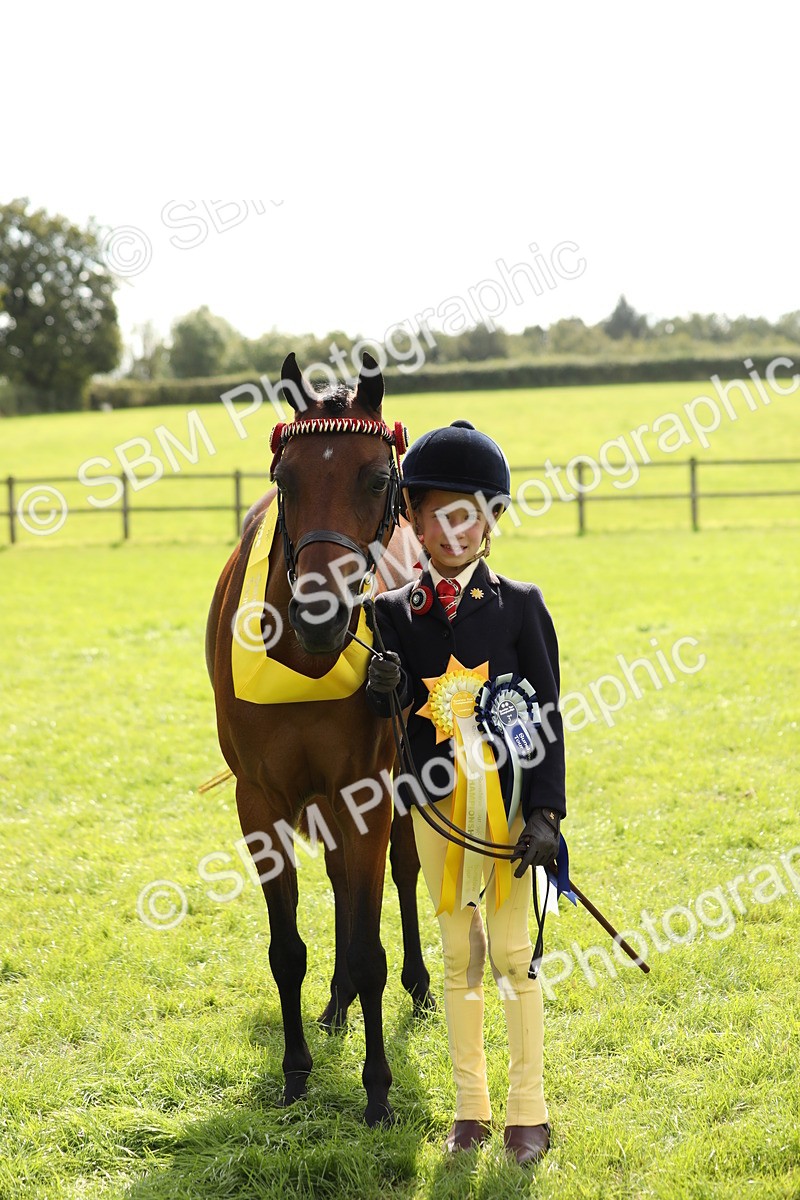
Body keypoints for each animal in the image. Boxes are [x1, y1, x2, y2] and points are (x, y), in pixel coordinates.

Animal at [205, 352, 431, 1126]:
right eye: (286, 481)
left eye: (378, 479)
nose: (319, 615)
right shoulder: (258, 802)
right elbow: (286, 950)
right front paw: (297, 1071)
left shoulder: (366, 789)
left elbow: (369, 946)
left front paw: (377, 1090)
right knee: (338, 882)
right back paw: (334, 1005)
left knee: (401, 873)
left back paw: (419, 984)